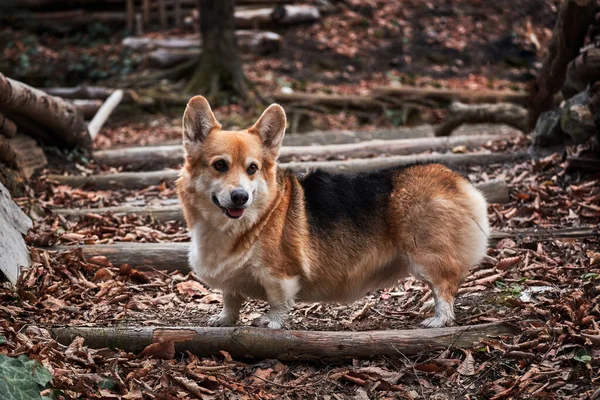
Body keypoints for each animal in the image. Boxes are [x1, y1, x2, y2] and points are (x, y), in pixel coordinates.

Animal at [176, 97, 490, 328]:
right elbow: (230, 299)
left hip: (427, 256)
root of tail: (456, 179)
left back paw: (438, 320)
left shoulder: (279, 275)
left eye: (252, 168)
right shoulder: (230, 279)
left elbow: (277, 302)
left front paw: (272, 323)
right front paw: (224, 320)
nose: (240, 197)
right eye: (220, 165)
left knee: (444, 286)